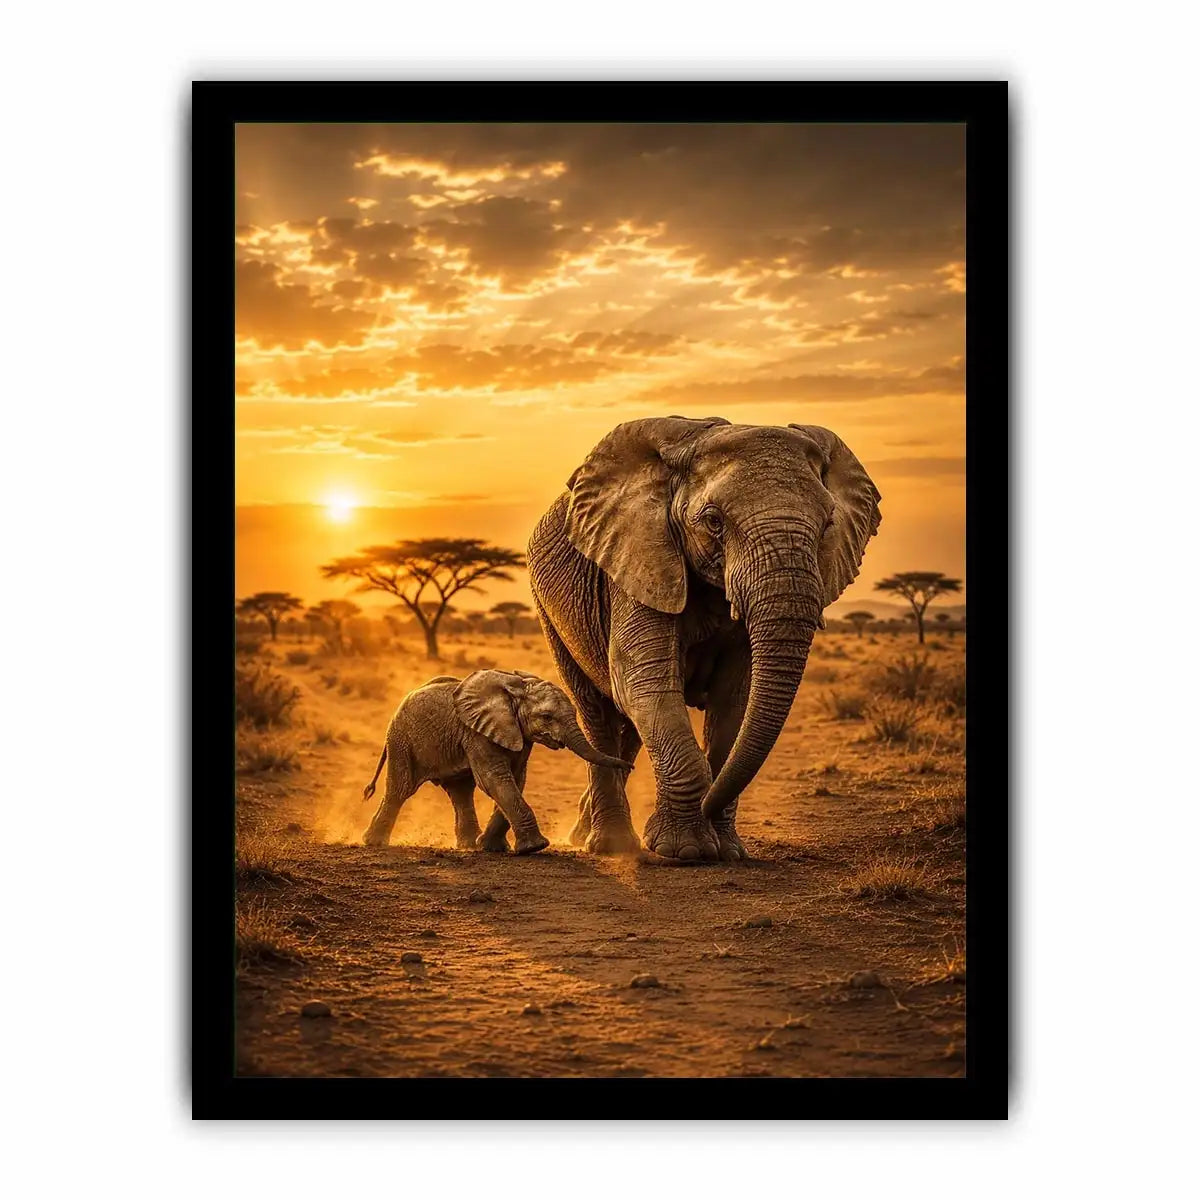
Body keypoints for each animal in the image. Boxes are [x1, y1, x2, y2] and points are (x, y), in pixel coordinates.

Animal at [360, 669, 632, 853]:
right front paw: (536, 847)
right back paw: (373, 842)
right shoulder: (477, 733)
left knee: (460, 792)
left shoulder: (516, 734)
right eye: (547, 716)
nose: (630, 765)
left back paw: (469, 846)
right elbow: (494, 779)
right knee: (400, 789)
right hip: (401, 740)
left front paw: (491, 847)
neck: (515, 691)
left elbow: (516, 778)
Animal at [527, 416, 881, 863]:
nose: (710, 805)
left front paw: (727, 850)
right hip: (550, 612)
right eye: (714, 521)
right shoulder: (640, 560)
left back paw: (586, 831)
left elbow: (734, 700)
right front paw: (687, 850)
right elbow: (644, 684)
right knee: (597, 711)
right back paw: (610, 845)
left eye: (828, 524)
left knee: (628, 728)